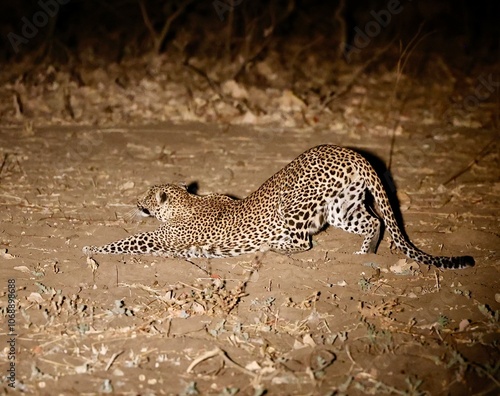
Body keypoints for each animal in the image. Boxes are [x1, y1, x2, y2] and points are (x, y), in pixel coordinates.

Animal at [81, 145, 472, 270]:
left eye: (147, 197)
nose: (136, 202)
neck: (187, 202)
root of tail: (353, 154)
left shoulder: (162, 239)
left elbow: (127, 241)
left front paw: (90, 248)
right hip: (340, 207)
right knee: (373, 222)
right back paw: (364, 254)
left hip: (297, 206)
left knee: (302, 242)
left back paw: (273, 247)